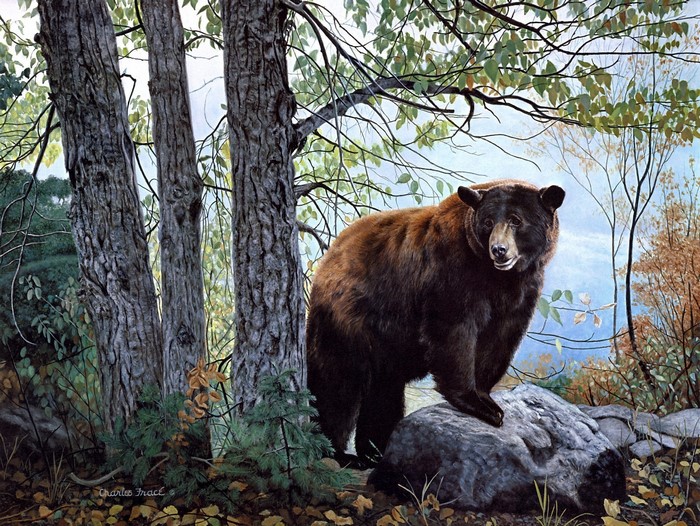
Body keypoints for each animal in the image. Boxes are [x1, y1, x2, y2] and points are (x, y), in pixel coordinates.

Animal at [306, 179, 565, 466]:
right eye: (488, 222)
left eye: (516, 220)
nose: (499, 250)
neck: (497, 277)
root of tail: (328, 258)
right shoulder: (451, 271)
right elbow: (453, 330)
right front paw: (476, 403)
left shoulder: (522, 292)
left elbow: (500, 339)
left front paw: (486, 397)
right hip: (348, 318)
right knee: (337, 384)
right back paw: (336, 451)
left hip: (385, 344)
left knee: (383, 392)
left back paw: (376, 449)